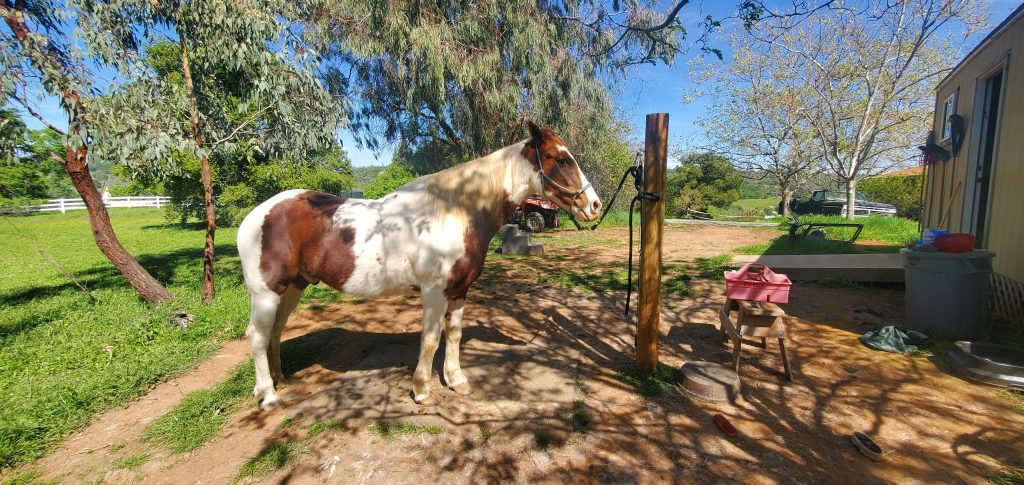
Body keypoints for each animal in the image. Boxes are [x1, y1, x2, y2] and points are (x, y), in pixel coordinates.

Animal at [236, 122, 602, 410]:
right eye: (562, 158)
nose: (594, 205)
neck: (455, 211)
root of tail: (257, 214)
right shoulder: (434, 292)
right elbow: (430, 339)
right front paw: (422, 390)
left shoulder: (460, 289)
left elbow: (453, 335)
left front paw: (456, 380)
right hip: (266, 293)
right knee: (257, 336)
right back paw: (268, 396)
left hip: (293, 289)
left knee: (275, 332)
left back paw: (280, 380)